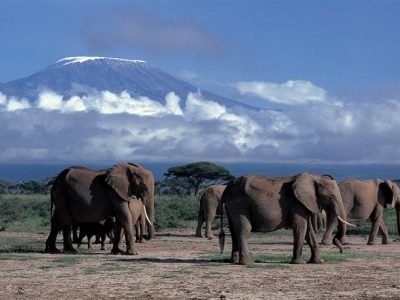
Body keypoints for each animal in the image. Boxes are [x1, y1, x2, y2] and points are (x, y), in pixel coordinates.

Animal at [219, 172, 354, 266]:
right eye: (331, 197)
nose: (341, 251)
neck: (315, 177)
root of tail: (227, 187)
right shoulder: (296, 204)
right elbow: (301, 227)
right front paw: (299, 263)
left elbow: (309, 232)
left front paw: (318, 262)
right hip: (240, 204)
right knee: (244, 229)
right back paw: (248, 263)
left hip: (232, 206)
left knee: (233, 231)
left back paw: (233, 261)